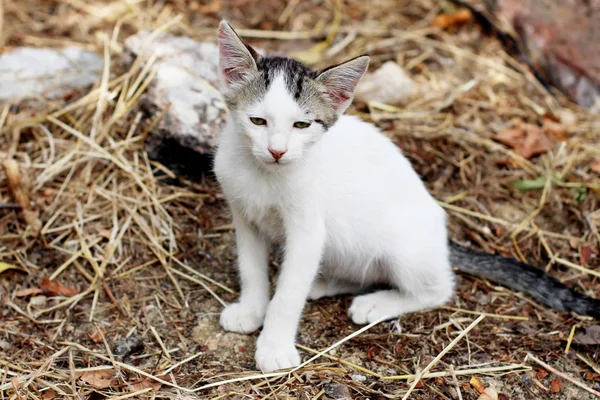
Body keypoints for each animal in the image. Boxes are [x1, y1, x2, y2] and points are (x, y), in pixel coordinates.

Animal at [212, 21, 600, 372]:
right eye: (258, 121)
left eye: (301, 126)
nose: (277, 151)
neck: (266, 174)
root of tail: (442, 238)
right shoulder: (244, 217)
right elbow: (251, 269)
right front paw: (251, 310)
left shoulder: (307, 230)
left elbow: (289, 293)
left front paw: (274, 346)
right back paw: (327, 282)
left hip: (406, 250)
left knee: (438, 289)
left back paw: (376, 303)